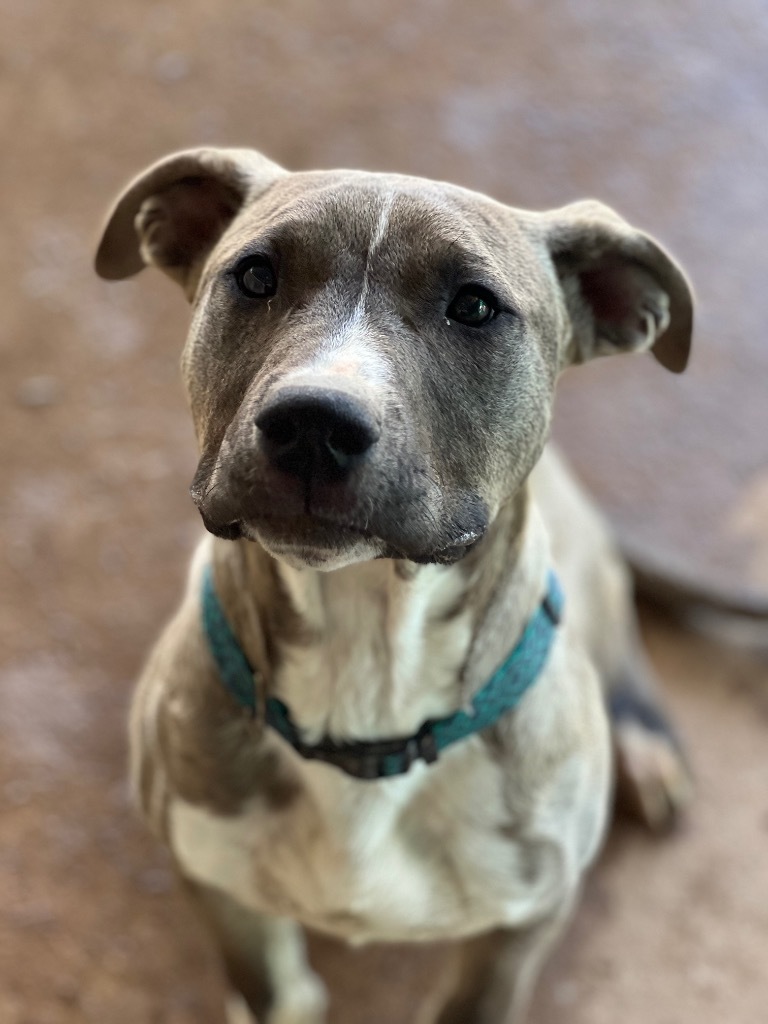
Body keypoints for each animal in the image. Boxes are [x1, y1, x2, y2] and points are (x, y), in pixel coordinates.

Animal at [94, 146, 692, 1024]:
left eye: (474, 306)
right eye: (255, 275)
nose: (313, 421)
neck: (367, 649)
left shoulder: (520, 930)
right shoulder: (221, 891)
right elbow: (272, 991)